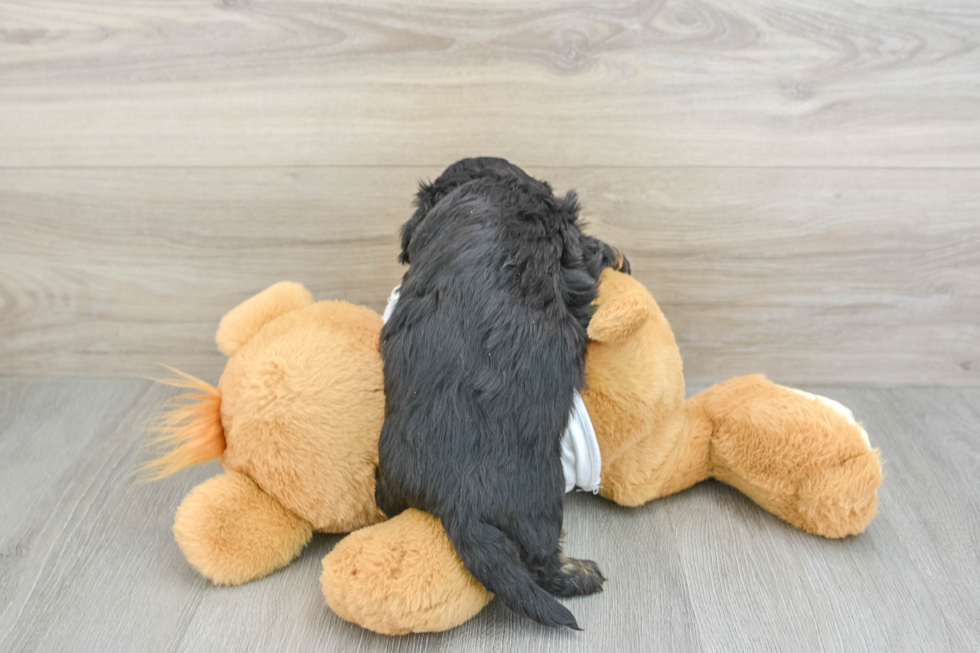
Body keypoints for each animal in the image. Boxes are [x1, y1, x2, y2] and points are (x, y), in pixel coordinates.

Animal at [376, 157, 628, 628]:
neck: (490, 186)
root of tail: (456, 502)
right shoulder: (568, 245)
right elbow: (588, 250)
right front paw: (616, 254)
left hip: (392, 478)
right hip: (541, 502)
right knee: (543, 562)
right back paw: (581, 573)